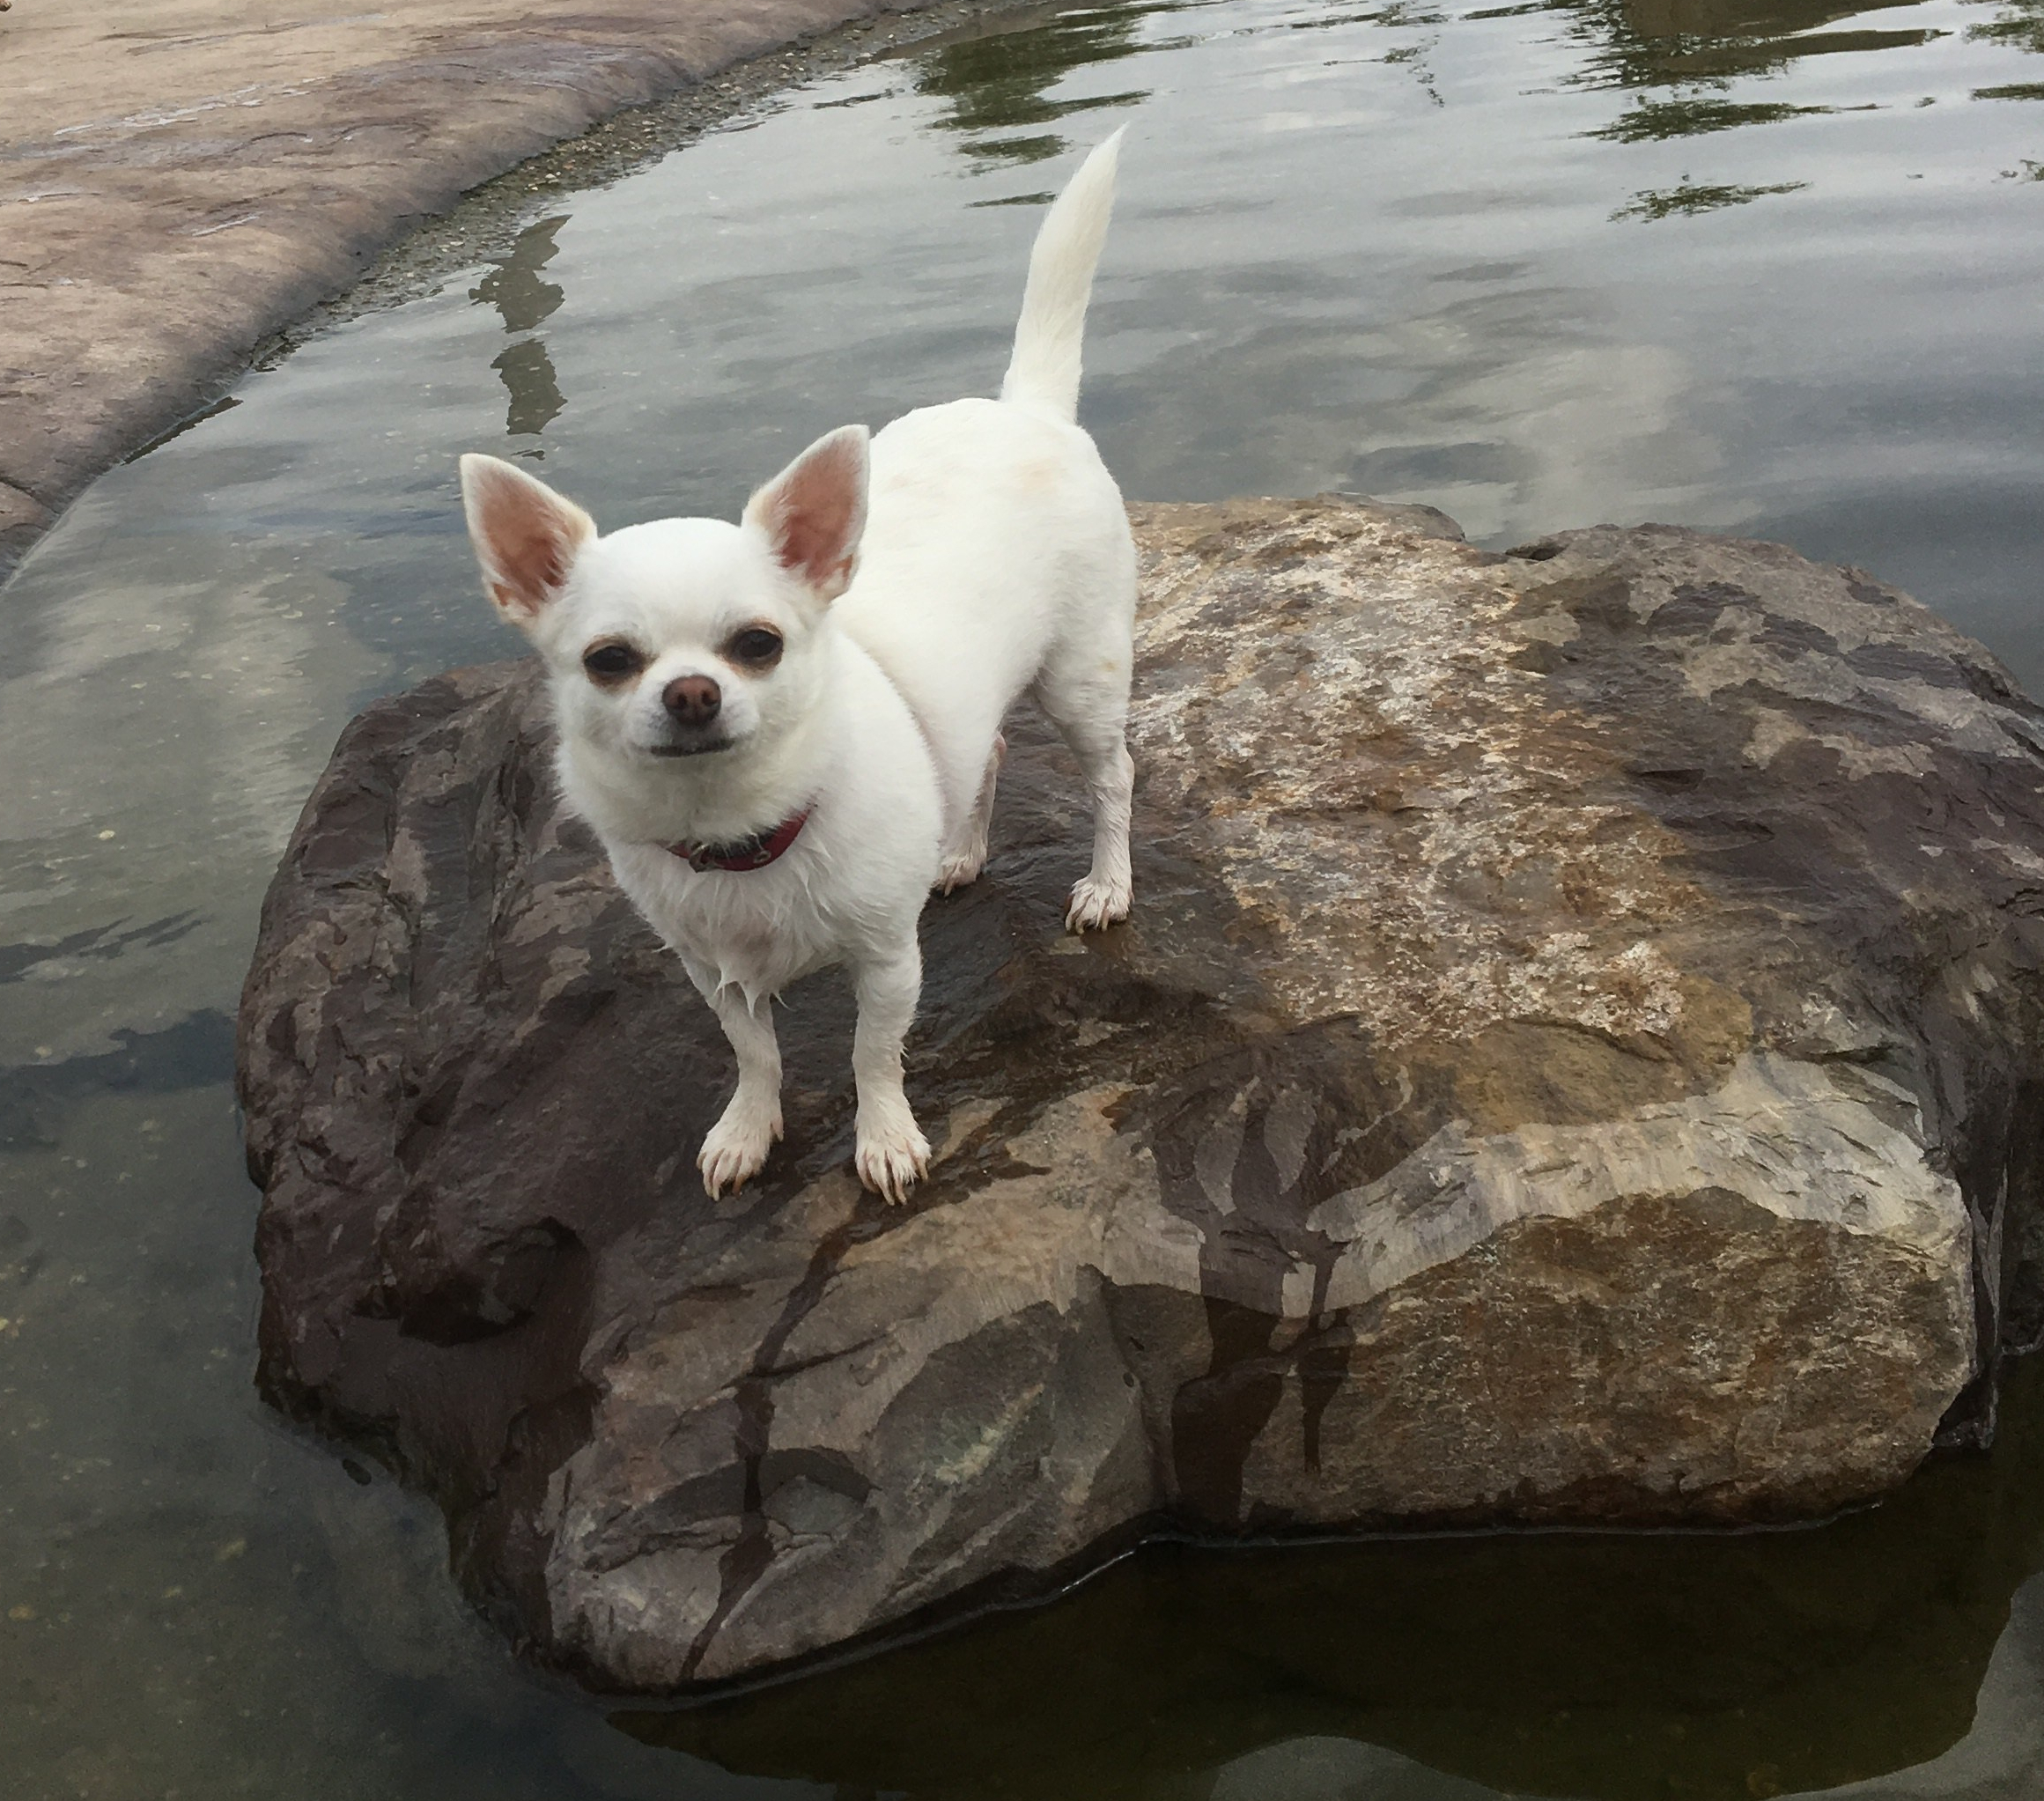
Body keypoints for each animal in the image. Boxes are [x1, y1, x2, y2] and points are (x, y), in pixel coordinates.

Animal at [458, 130, 1136, 1204]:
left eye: (757, 644)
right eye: (609, 660)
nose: (692, 693)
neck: (739, 830)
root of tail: (1025, 410)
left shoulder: (888, 960)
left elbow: (871, 1051)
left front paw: (885, 1138)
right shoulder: (710, 969)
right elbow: (754, 1051)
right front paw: (747, 1127)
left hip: (1081, 678)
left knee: (1113, 775)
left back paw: (1108, 883)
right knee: (982, 754)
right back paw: (958, 848)